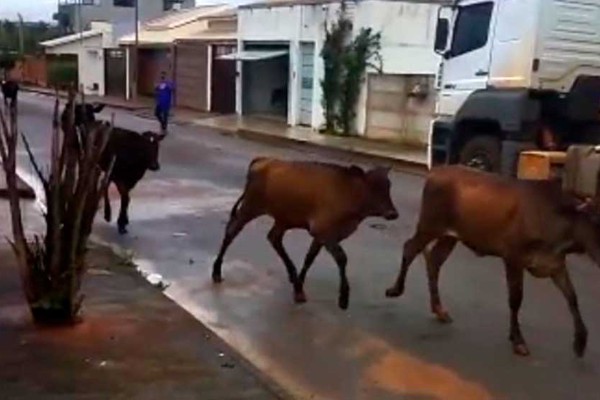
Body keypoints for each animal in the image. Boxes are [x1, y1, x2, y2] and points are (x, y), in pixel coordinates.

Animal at [61, 101, 163, 234]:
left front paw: (123, 221)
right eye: (145, 146)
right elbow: (123, 197)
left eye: (157, 147)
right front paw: (114, 218)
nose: (155, 165)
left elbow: (126, 198)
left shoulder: (131, 180)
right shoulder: (116, 176)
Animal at [211, 157, 398, 310]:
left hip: (283, 218)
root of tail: (263, 160)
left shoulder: (321, 235)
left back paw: (292, 275)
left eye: (388, 186)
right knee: (232, 231)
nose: (393, 213)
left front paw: (299, 287)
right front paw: (343, 298)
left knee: (273, 238)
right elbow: (342, 258)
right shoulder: (324, 231)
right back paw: (216, 271)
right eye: (373, 186)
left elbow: (310, 258)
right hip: (250, 207)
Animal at [386, 164, 596, 358]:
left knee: (434, 261)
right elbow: (516, 299)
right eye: (596, 221)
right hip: (429, 226)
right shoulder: (513, 258)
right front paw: (518, 340)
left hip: (449, 237)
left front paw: (581, 341)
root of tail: (436, 171)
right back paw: (396, 290)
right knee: (410, 248)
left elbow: (572, 297)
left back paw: (439, 310)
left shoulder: (555, 264)